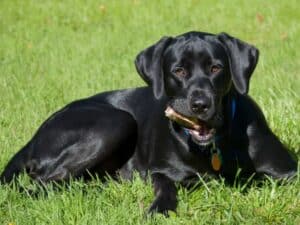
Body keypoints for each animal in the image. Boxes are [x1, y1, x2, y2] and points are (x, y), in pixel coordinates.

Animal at [0, 31, 296, 213]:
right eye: (178, 71)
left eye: (216, 68)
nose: (200, 104)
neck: (213, 145)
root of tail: (34, 137)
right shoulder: (161, 171)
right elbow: (167, 187)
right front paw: (159, 209)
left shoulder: (288, 172)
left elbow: (256, 177)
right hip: (116, 122)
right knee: (41, 184)